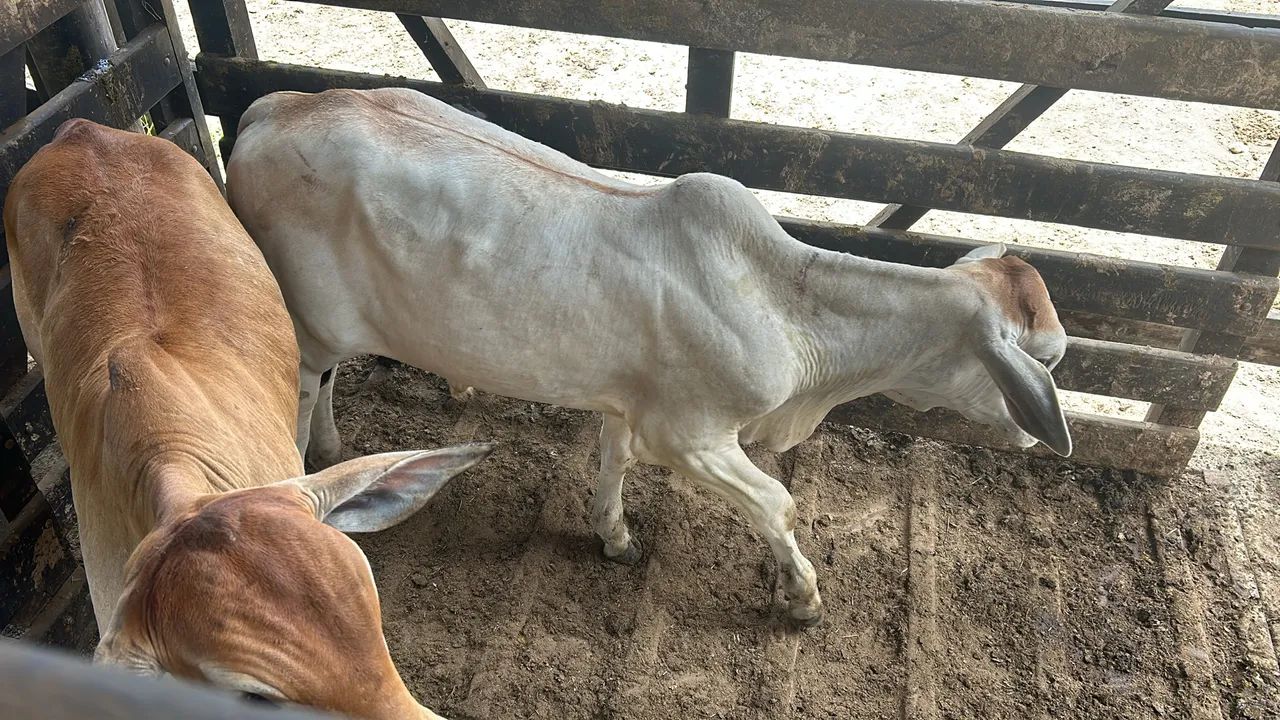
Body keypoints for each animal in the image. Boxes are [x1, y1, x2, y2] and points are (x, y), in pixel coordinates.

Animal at [227, 88, 1072, 626]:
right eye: (1053, 358)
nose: (1032, 436)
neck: (786, 303)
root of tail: (275, 107)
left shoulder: (630, 403)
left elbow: (612, 459)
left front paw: (613, 534)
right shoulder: (691, 435)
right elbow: (777, 503)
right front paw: (801, 598)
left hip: (331, 329)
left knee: (329, 382)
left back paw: (334, 445)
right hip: (300, 322)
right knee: (297, 394)